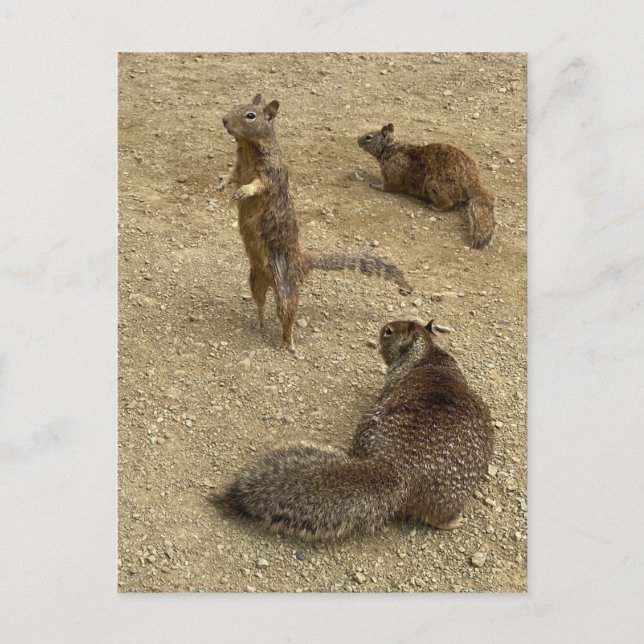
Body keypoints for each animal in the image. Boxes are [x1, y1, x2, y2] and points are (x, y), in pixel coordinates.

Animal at [219, 95, 412, 351]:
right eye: (236, 105)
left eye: (250, 115)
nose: (224, 120)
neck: (248, 148)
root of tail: (302, 263)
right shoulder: (240, 167)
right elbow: (232, 174)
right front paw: (222, 183)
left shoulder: (271, 173)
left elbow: (258, 185)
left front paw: (243, 191)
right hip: (255, 279)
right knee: (260, 303)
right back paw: (258, 323)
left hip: (285, 291)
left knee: (287, 317)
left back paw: (287, 343)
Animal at [357, 123, 496, 250]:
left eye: (368, 137)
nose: (357, 139)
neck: (390, 148)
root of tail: (473, 182)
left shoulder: (390, 175)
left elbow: (387, 186)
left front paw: (376, 185)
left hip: (433, 186)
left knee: (448, 205)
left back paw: (434, 207)